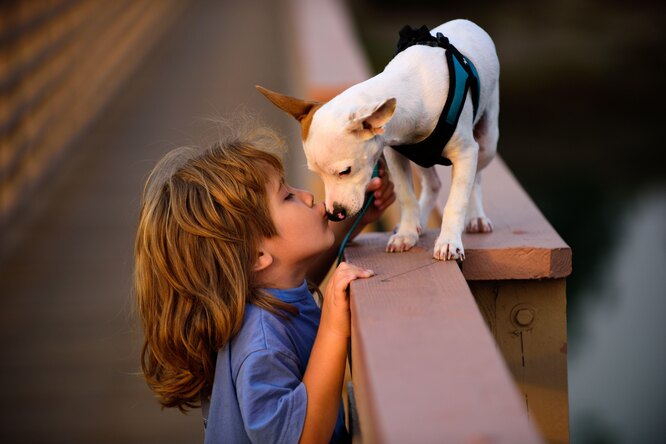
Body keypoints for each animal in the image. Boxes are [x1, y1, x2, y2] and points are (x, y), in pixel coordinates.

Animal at [256, 19, 496, 260]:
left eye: (345, 171)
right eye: (317, 175)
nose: (334, 214)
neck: (413, 91)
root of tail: (467, 22)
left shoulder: (465, 152)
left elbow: (456, 201)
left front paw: (448, 242)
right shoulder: (395, 153)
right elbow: (406, 195)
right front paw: (407, 233)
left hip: (486, 144)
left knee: (476, 178)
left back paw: (476, 217)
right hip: (422, 156)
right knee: (433, 183)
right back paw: (419, 221)